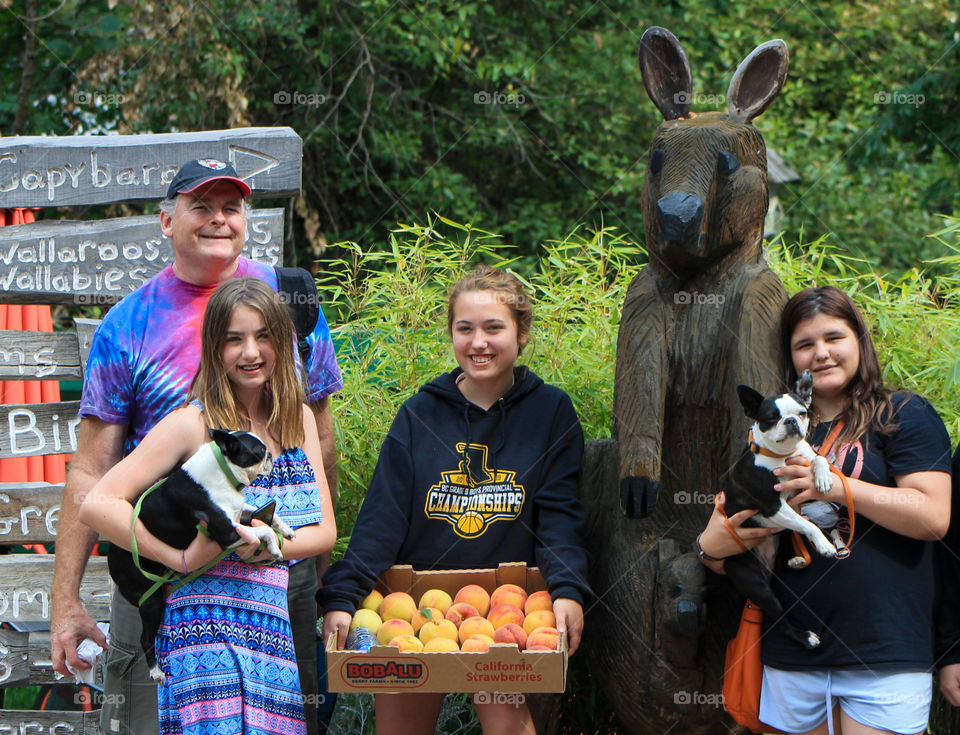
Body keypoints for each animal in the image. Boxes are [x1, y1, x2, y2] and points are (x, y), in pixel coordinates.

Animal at [106, 428, 290, 680]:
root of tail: (110, 553)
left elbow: (261, 514)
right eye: (259, 452)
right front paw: (274, 547)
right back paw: (156, 671)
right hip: (151, 599)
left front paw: (286, 529)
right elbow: (264, 529)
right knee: (146, 638)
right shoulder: (227, 533)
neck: (223, 470)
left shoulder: (237, 515)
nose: (271, 454)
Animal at [724, 374, 836, 648]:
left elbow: (819, 458)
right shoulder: (772, 506)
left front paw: (823, 478)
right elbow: (809, 525)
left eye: (802, 412)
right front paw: (825, 545)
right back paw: (805, 637)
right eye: (771, 418)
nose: (791, 421)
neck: (784, 455)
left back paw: (796, 559)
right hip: (756, 584)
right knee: (780, 623)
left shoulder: (803, 466)